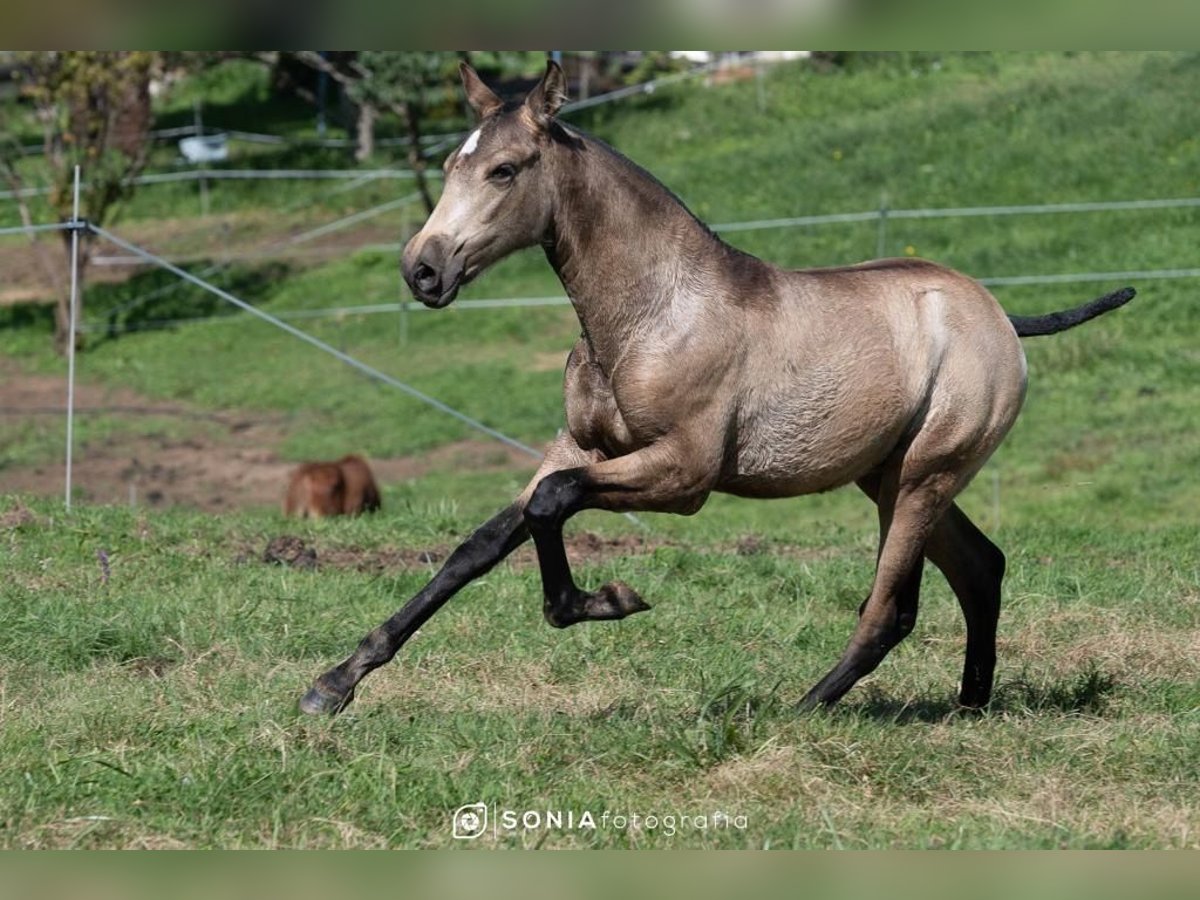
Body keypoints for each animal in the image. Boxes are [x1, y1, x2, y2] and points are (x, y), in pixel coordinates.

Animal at [300, 61, 1132, 720]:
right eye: (449, 165)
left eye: (505, 170)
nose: (423, 269)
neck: (655, 312)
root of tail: (1000, 317)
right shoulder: (578, 446)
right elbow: (479, 546)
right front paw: (333, 684)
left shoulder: (685, 474)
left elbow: (552, 505)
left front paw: (605, 601)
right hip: (890, 475)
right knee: (981, 567)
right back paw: (968, 706)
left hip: (926, 476)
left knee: (890, 607)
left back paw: (800, 710)